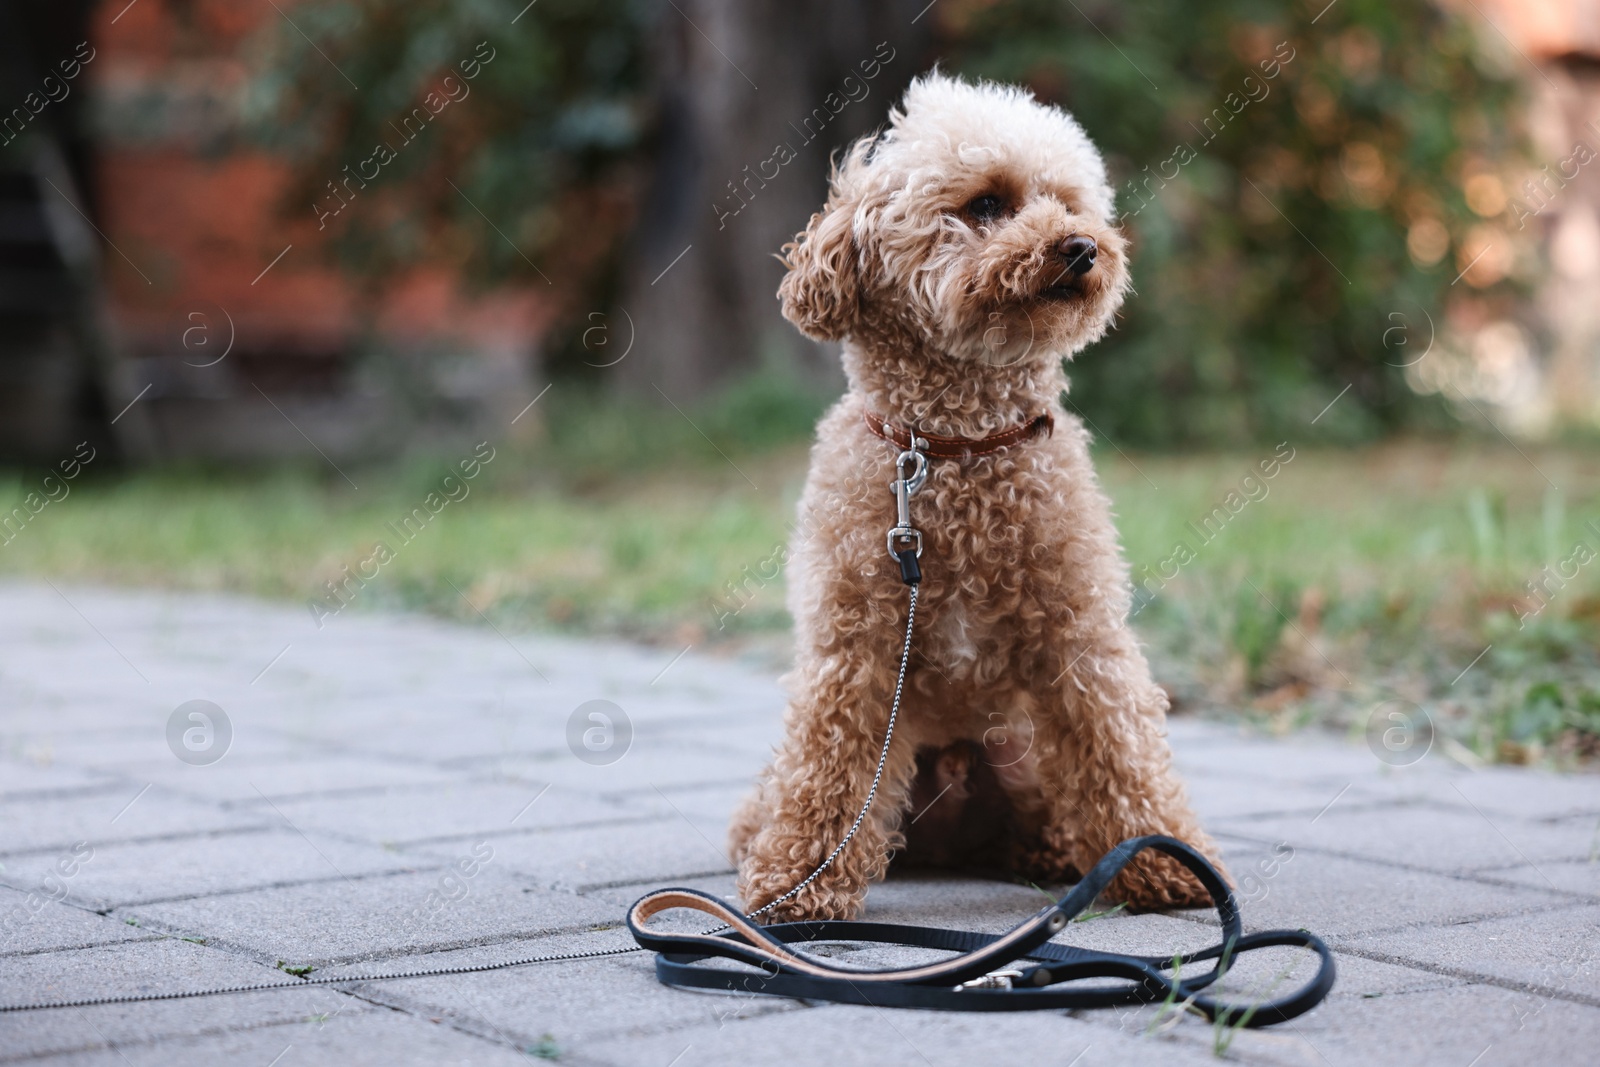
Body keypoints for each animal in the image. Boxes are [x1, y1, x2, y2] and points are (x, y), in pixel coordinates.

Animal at [732, 70, 1216, 921]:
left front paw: (1162, 856)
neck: (954, 450)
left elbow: (1119, 742)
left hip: (1024, 760)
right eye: (987, 203)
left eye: (1068, 201)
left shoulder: (1078, 631)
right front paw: (799, 879)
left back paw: (1058, 855)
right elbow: (826, 759)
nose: (1082, 247)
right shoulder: (854, 645)